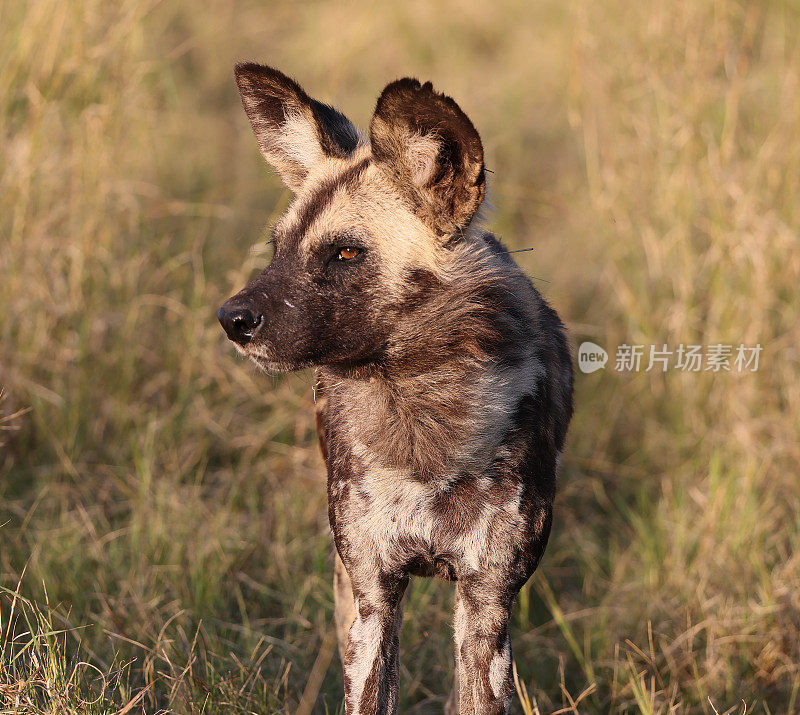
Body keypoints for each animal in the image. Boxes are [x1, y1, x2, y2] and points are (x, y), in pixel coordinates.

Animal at [216, 64, 572, 712]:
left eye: (346, 252)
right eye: (278, 249)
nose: (232, 319)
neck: (421, 415)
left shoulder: (487, 609)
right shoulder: (374, 598)